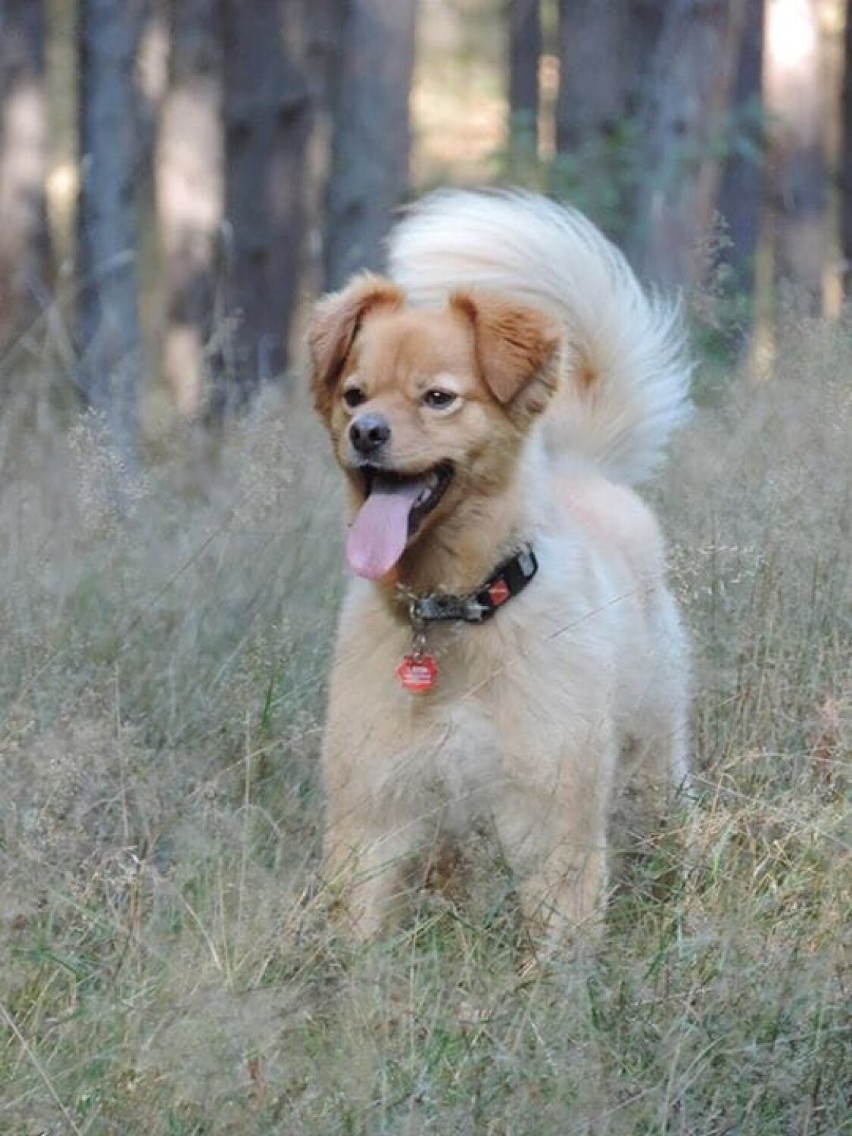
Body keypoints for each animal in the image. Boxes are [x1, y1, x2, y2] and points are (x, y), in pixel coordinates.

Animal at [306, 190, 695, 945]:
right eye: (354, 395)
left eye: (438, 397)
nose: (366, 433)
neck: (455, 610)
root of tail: (581, 469)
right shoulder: (375, 813)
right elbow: (358, 943)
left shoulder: (552, 812)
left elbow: (561, 946)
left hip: (652, 754)